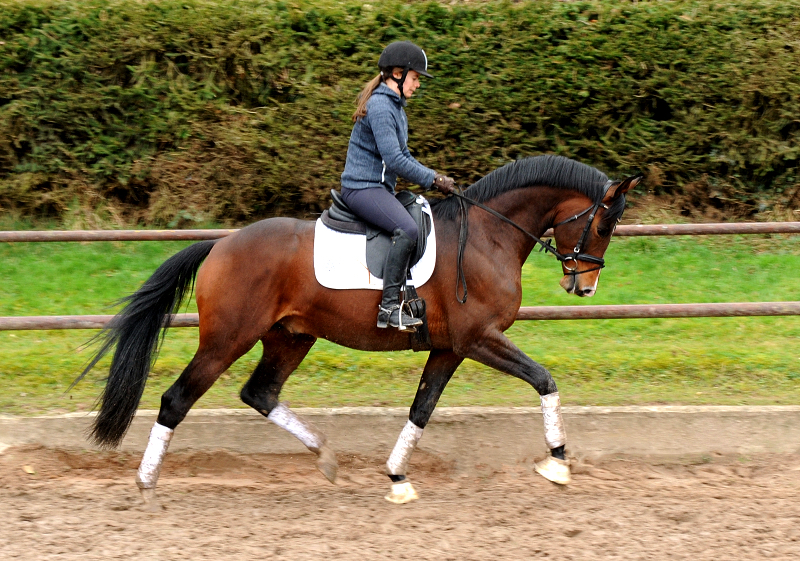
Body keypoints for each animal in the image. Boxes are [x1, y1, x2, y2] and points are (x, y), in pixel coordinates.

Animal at [75, 154, 636, 508]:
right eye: (603, 225)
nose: (584, 286)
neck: (487, 235)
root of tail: (220, 244)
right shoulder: (479, 339)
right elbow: (543, 379)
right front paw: (558, 464)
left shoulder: (450, 348)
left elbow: (422, 409)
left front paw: (398, 479)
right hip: (226, 340)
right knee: (177, 399)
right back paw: (146, 484)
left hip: (290, 337)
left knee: (260, 392)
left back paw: (325, 457)